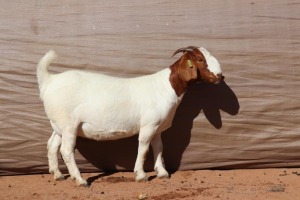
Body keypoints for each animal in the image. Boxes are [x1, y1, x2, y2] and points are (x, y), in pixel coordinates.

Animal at [37, 46, 223, 187]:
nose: (220, 76)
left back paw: (57, 174)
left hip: (59, 124)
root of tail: (49, 80)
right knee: (66, 150)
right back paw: (80, 180)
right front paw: (141, 175)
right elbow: (143, 149)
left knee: (52, 145)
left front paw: (162, 172)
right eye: (200, 59)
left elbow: (159, 147)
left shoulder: (157, 128)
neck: (165, 87)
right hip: (69, 123)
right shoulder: (148, 125)